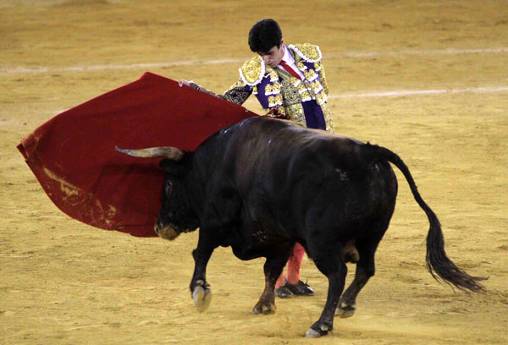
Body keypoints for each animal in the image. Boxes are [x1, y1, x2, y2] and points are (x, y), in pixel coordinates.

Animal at [116, 115, 484, 336]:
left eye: (167, 185)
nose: (160, 225)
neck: (214, 164)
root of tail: (370, 153)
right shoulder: (278, 235)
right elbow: (271, 269)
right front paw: (264, 304)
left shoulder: (215, 221)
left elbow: (201, 254)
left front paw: (200, 293)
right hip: (372, 235)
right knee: (366, 269)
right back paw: (346, 306)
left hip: (322, 240)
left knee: (338, 274)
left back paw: (321, 324)